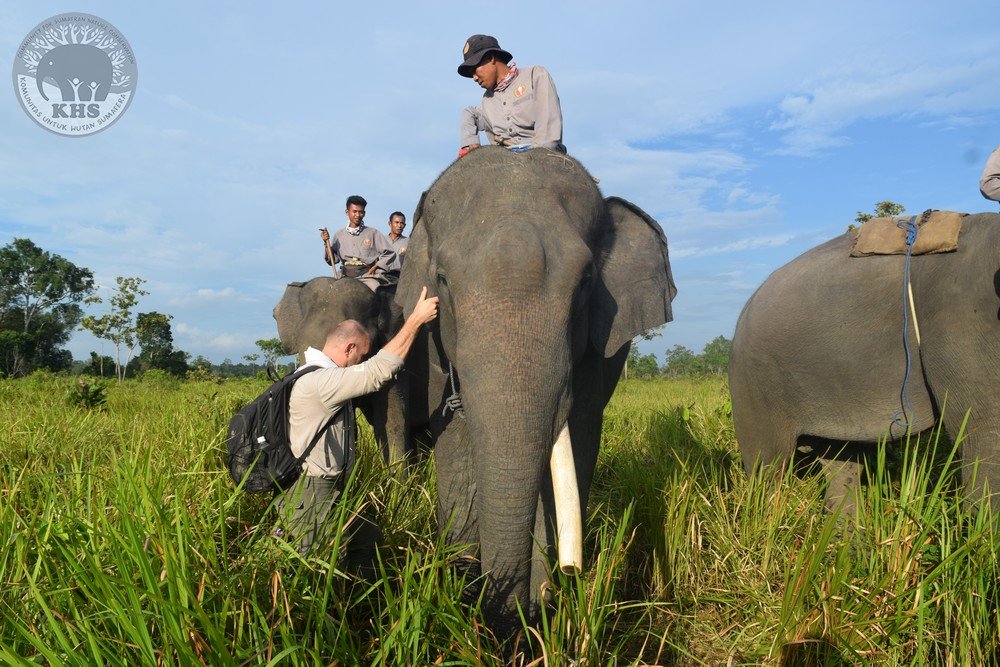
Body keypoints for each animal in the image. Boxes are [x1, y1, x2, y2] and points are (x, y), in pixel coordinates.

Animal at [395, 146, 676, 640]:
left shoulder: (599, 351)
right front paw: (468, 591)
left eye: (586, 281)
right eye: (442, 280)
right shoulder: (431, 345)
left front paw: (544, 605)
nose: (570, 571)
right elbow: (456, 445)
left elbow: (576, 441)